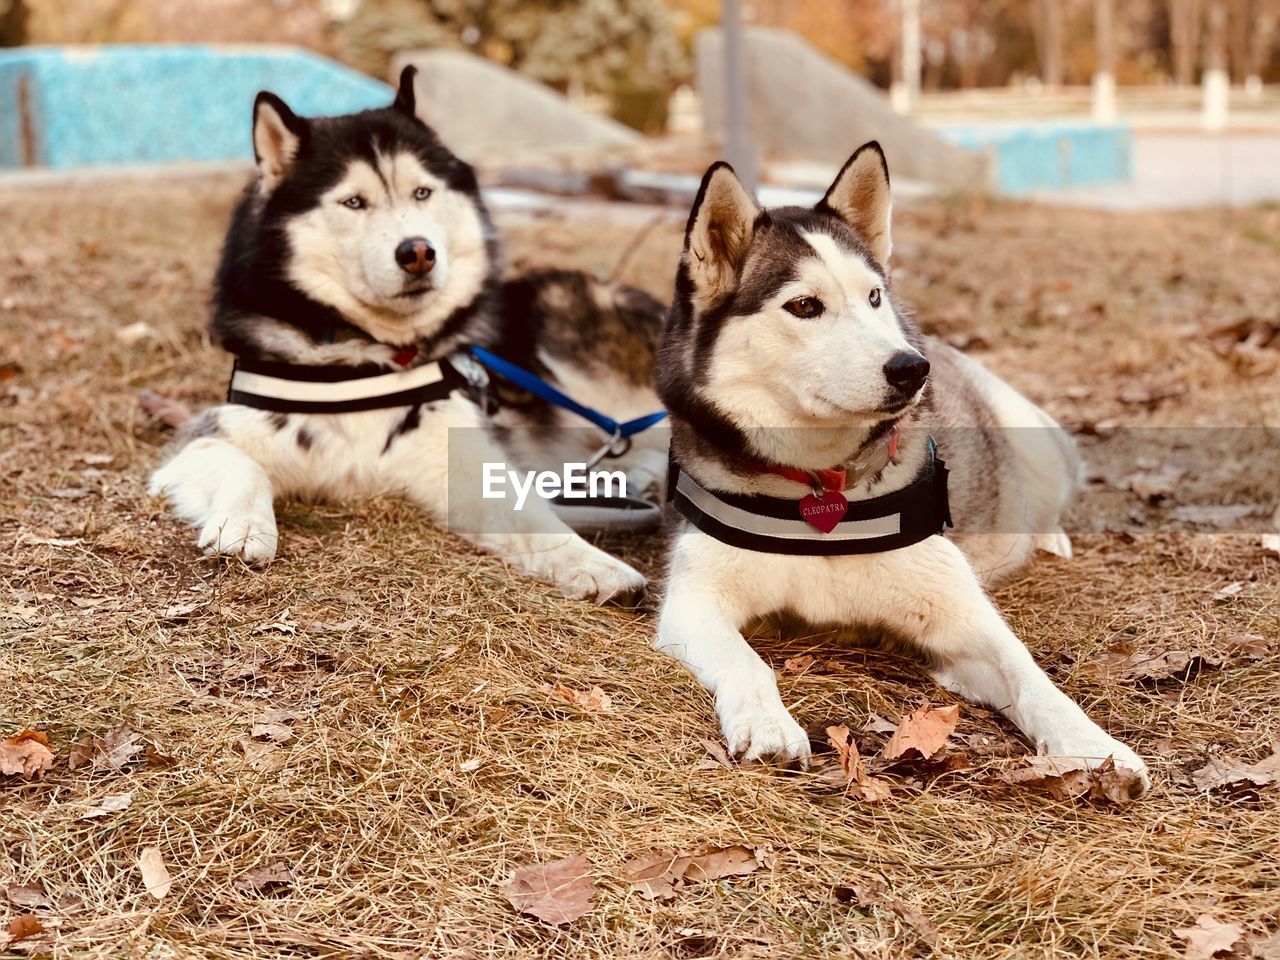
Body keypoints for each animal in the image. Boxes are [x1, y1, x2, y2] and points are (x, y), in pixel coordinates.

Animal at [151, 69, 665, 601]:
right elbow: (239, 463)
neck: (366, 359)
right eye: (353, 201)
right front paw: (244, 524)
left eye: (422, 193)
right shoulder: (209, 434)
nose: (417, 252)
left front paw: (596, 566)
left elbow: (525, 515)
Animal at [655, 140, 1146, 788]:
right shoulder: (693, 604)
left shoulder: (958, 614)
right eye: (804, 305)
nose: (912, 368)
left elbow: (1031, 676)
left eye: (873, 297)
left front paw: (1094, 744)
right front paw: (769, 724)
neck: (822, 489)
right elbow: (748, 661)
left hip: (1036, 439)